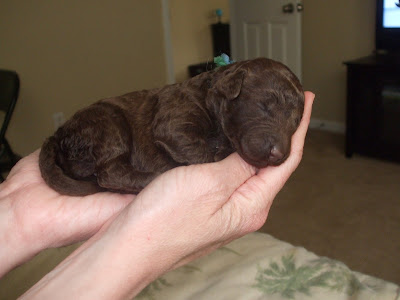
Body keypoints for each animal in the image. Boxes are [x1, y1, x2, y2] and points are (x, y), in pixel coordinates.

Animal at [39, 57, 304, 196]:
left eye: (296, 122)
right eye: (265, 105)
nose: (279, 154)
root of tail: (57, 135)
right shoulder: (175, 122)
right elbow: (201, 153)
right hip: (108, 124)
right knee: (110, 172)